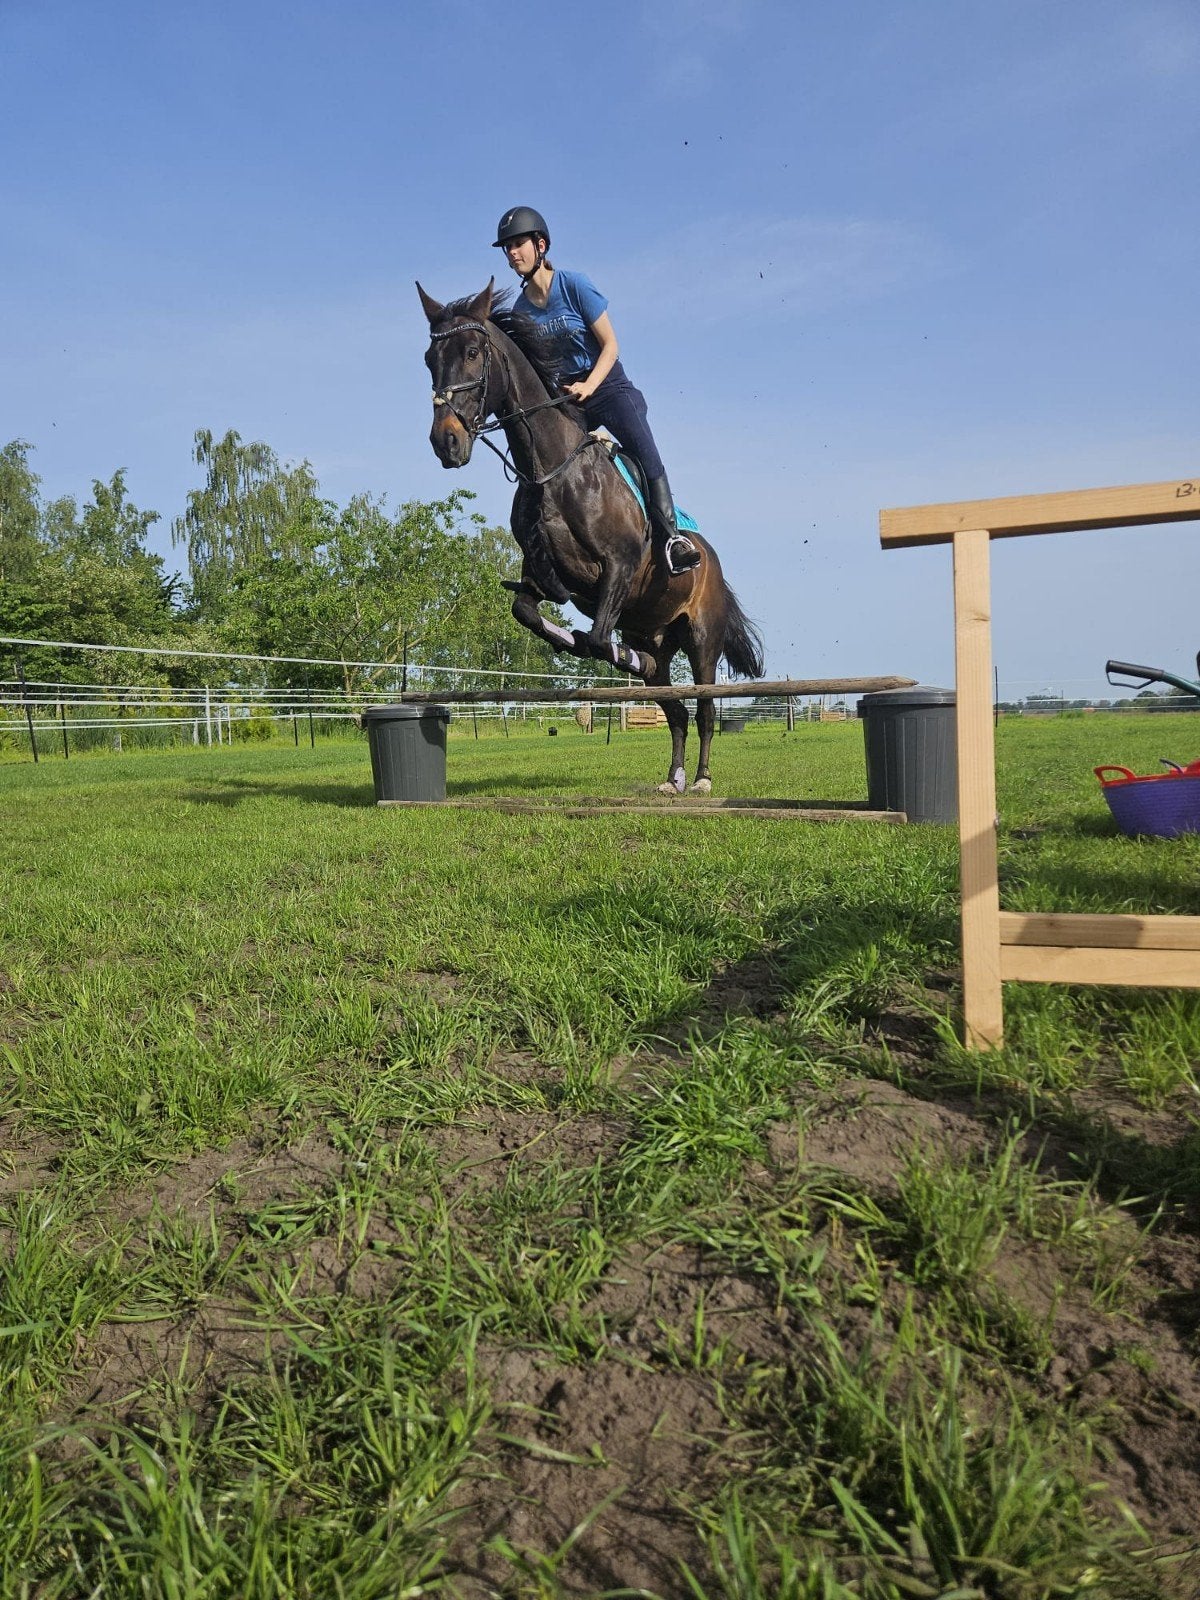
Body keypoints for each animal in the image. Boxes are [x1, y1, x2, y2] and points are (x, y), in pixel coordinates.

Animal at [417, 279, 764, 793]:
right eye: (429, 359)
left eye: (474, 353)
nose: (446, 442)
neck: (552, 470)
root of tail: (713, 562)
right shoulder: (546, 576)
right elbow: (527, 611)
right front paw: (569, 640)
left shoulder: (618, 567)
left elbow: (600, 640)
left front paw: (596, 646)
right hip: (652, 635)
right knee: (675, 710)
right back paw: (673, 779)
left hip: (703, 638)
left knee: (702, 708)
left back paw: (700, 780)